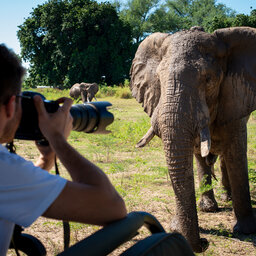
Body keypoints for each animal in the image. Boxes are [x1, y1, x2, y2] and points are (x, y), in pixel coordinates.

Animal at [130, 26, 256, 252]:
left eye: (208, 80)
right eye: (159, 79)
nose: (205, 242)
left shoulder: (235, 100)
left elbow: (236, 154)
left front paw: (246, 231)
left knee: (226, 158)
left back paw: (227, 198)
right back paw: (208, 208)